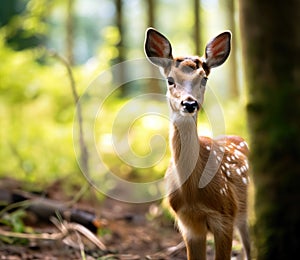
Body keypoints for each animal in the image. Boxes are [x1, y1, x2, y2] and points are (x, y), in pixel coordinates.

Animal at [145, 27, 251, 258]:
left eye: (204, 79)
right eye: (170, 80)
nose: (189, 103)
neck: (193, 193)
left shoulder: (225, 216)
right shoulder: (188, 224)